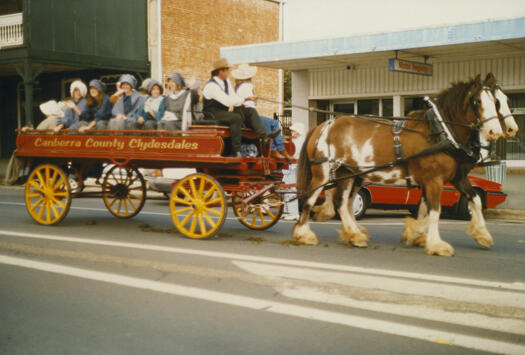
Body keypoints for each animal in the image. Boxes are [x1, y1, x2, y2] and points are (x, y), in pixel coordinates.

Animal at [292, 73, 506, 258]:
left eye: (495, 102)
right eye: (477, 102)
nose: (495, 132)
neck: (440, 131)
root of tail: (323, 125)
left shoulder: (456, 177)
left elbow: (474, 200)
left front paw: (483, 235)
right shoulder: (434, 180)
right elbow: (435, 210)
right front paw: (436, 244)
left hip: (347, 173)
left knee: (342, 203)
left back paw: (355, 235)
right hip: (323, 173)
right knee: (311, 199)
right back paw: (305, 234)